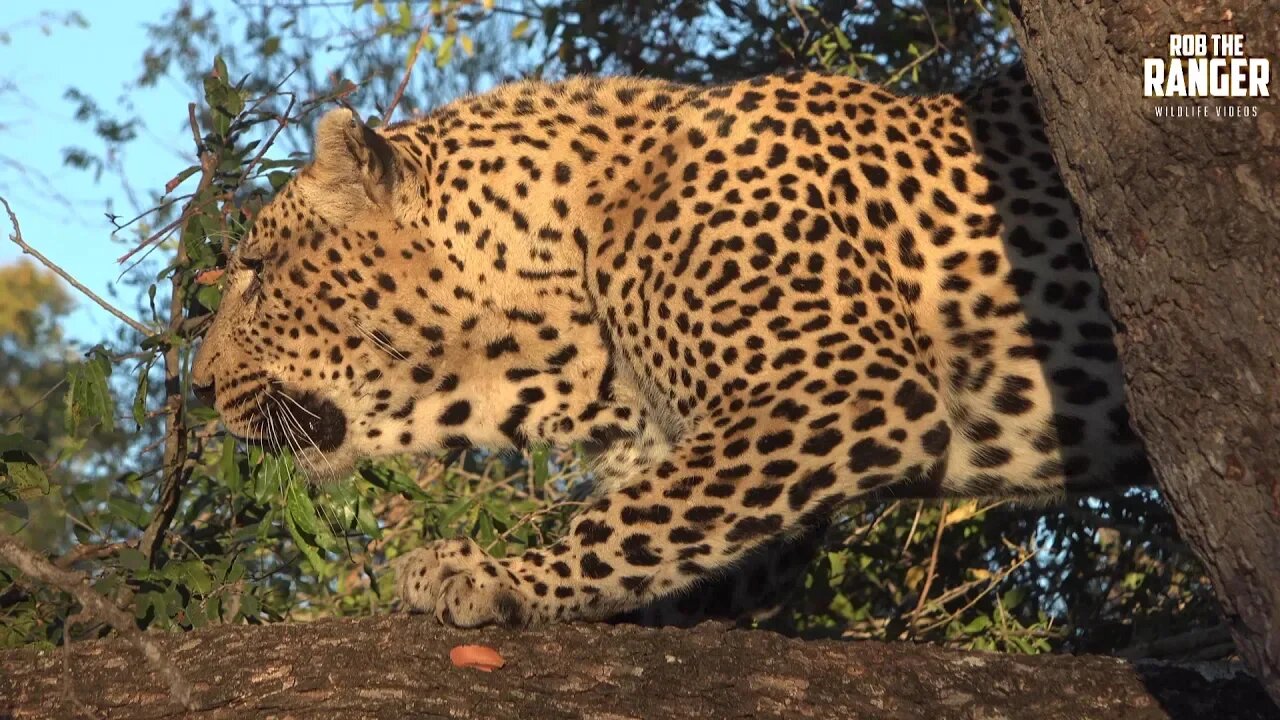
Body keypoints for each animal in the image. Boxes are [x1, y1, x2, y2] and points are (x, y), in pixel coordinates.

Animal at [194, 64, 1157, 625]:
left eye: (256, 268)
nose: (199, 389)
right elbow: (672, 541)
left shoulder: (842, 391)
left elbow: (628, 519)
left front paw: (498, 576)